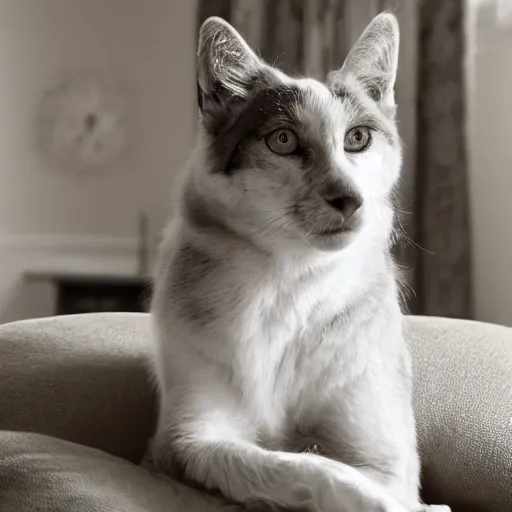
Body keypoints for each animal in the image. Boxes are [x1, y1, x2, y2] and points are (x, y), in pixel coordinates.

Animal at [147, 11, 448, 512]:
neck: (290, 284)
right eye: (283, 141)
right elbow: (301, 466)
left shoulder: (386, 457)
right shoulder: (186, 438)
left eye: (358, 138)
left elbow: (368, 477)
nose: (350, 199)